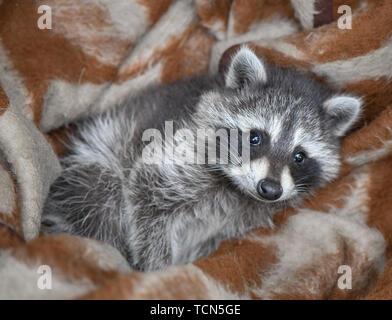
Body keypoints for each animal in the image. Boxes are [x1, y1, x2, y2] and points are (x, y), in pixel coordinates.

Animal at [42, 46, 362, 272]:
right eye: (256, 138)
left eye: (299, 156)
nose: (270, 189)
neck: (237, 189)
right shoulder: (178, 150)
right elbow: (146, 193)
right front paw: (156, 267)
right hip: (96, 162)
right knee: (103, 198)